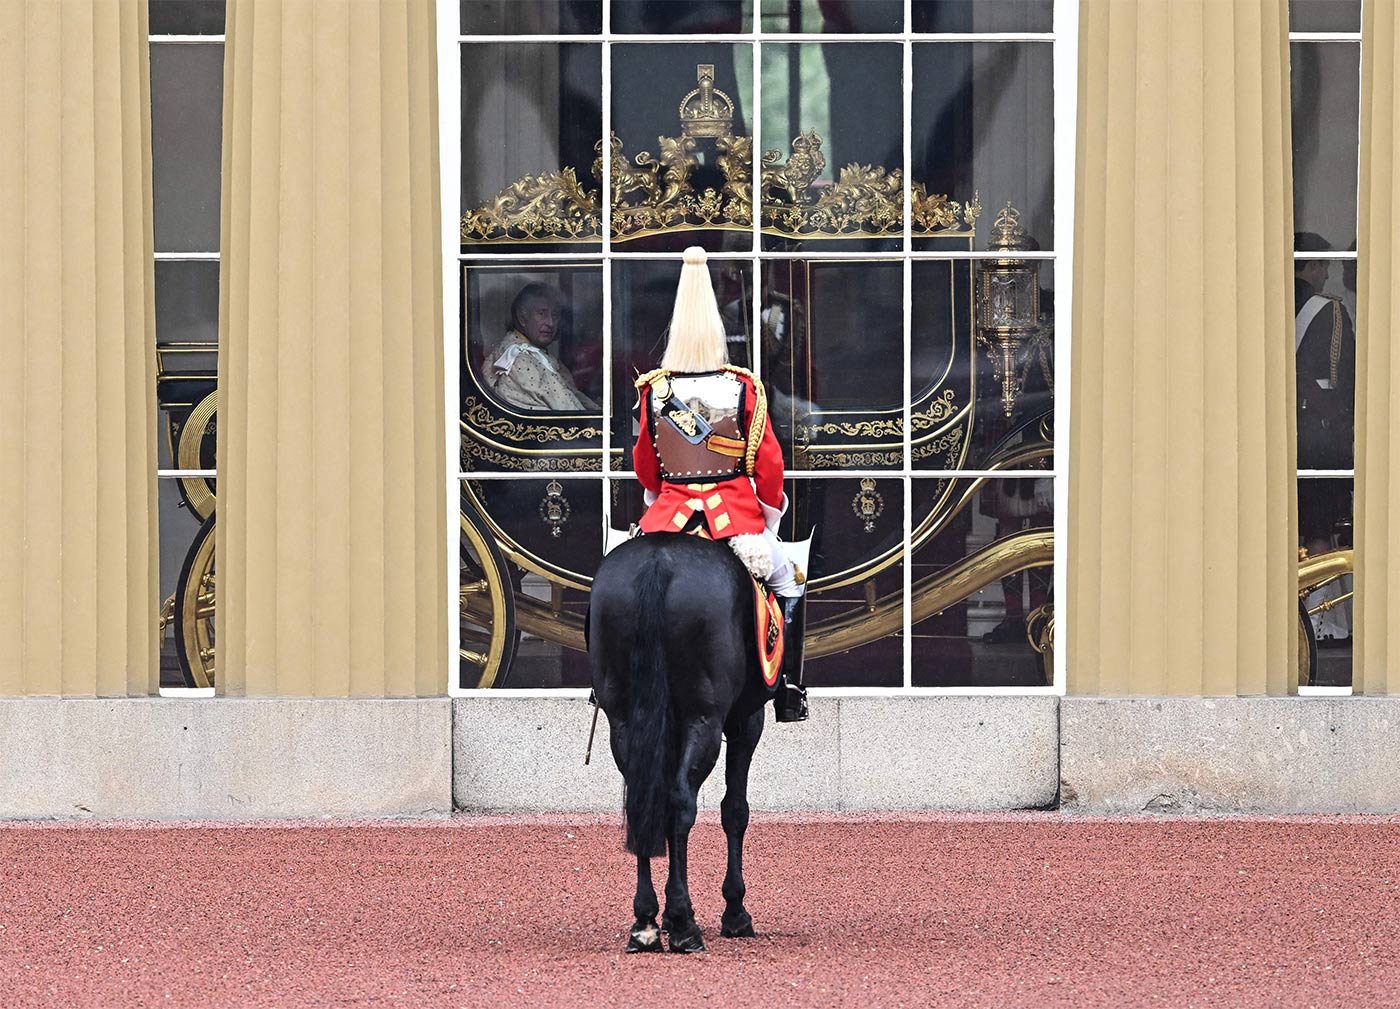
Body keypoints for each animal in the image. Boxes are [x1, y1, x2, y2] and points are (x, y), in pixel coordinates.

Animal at [585, 534, 772, 951]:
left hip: (627, 721)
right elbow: (735, 810)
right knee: (681, 801)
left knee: (642, 800)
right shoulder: (746, 721)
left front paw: (666, 917)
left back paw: (646, 921)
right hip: (705, 720)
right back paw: (684, 921)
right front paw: (735, 911)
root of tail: (659, 561)